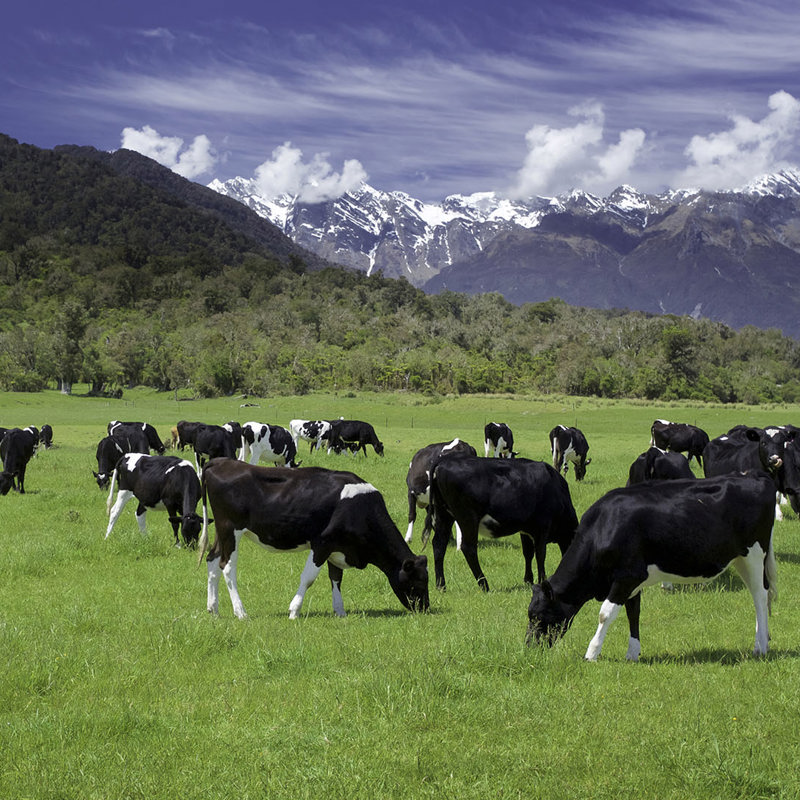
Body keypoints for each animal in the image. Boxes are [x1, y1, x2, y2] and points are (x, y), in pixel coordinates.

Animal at [197, 456, 428, 620]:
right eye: (418, 580)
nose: (425, 608)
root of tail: (221, 461)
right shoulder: (322, 542)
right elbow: (308, 578)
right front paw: (294, 611)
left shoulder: (337, 546)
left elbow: (336, 578)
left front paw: (340, 611)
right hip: (231, 530)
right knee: (227, 567)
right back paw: (240, 612)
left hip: (221, 531)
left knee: (212, 560)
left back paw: (213, 608)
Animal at [424, 454, 576, 592]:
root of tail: (445, 459)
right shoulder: (542, 527)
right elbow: (540, 554)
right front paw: (542, 581)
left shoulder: (526, 529)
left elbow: (528, 553)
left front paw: (528, 580)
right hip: (467, 517)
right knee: (468, 548)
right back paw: (484, 585)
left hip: (444, 515)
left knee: (439, 544)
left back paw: (441, 586)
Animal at [528, 468, 780, 664]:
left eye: (538, 616)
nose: (529, 647)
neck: (604, 528)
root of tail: (754, 474)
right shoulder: (632, 581)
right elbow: (633, 612)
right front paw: (632, 653)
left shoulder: (627, 577)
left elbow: (605, 614)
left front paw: (591, 653)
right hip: (740, 558)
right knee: (758, 596)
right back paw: (764, 639)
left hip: (755, 553)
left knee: (760, 595)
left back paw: (760, 647)